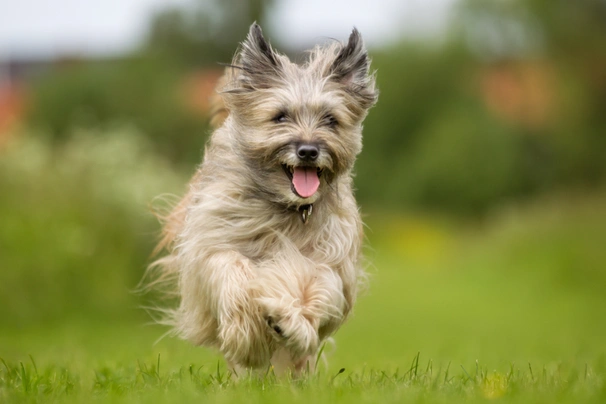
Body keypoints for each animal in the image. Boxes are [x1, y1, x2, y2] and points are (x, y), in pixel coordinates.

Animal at [145, 22, 378, 376]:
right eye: (280, 116)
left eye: (331, 119)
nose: (308, 151)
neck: (285, 208)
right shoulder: (211, 245)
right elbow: (232, 268)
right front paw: (249, 339)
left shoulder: (330, 259)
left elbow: (317, 284)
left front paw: (291, 322)